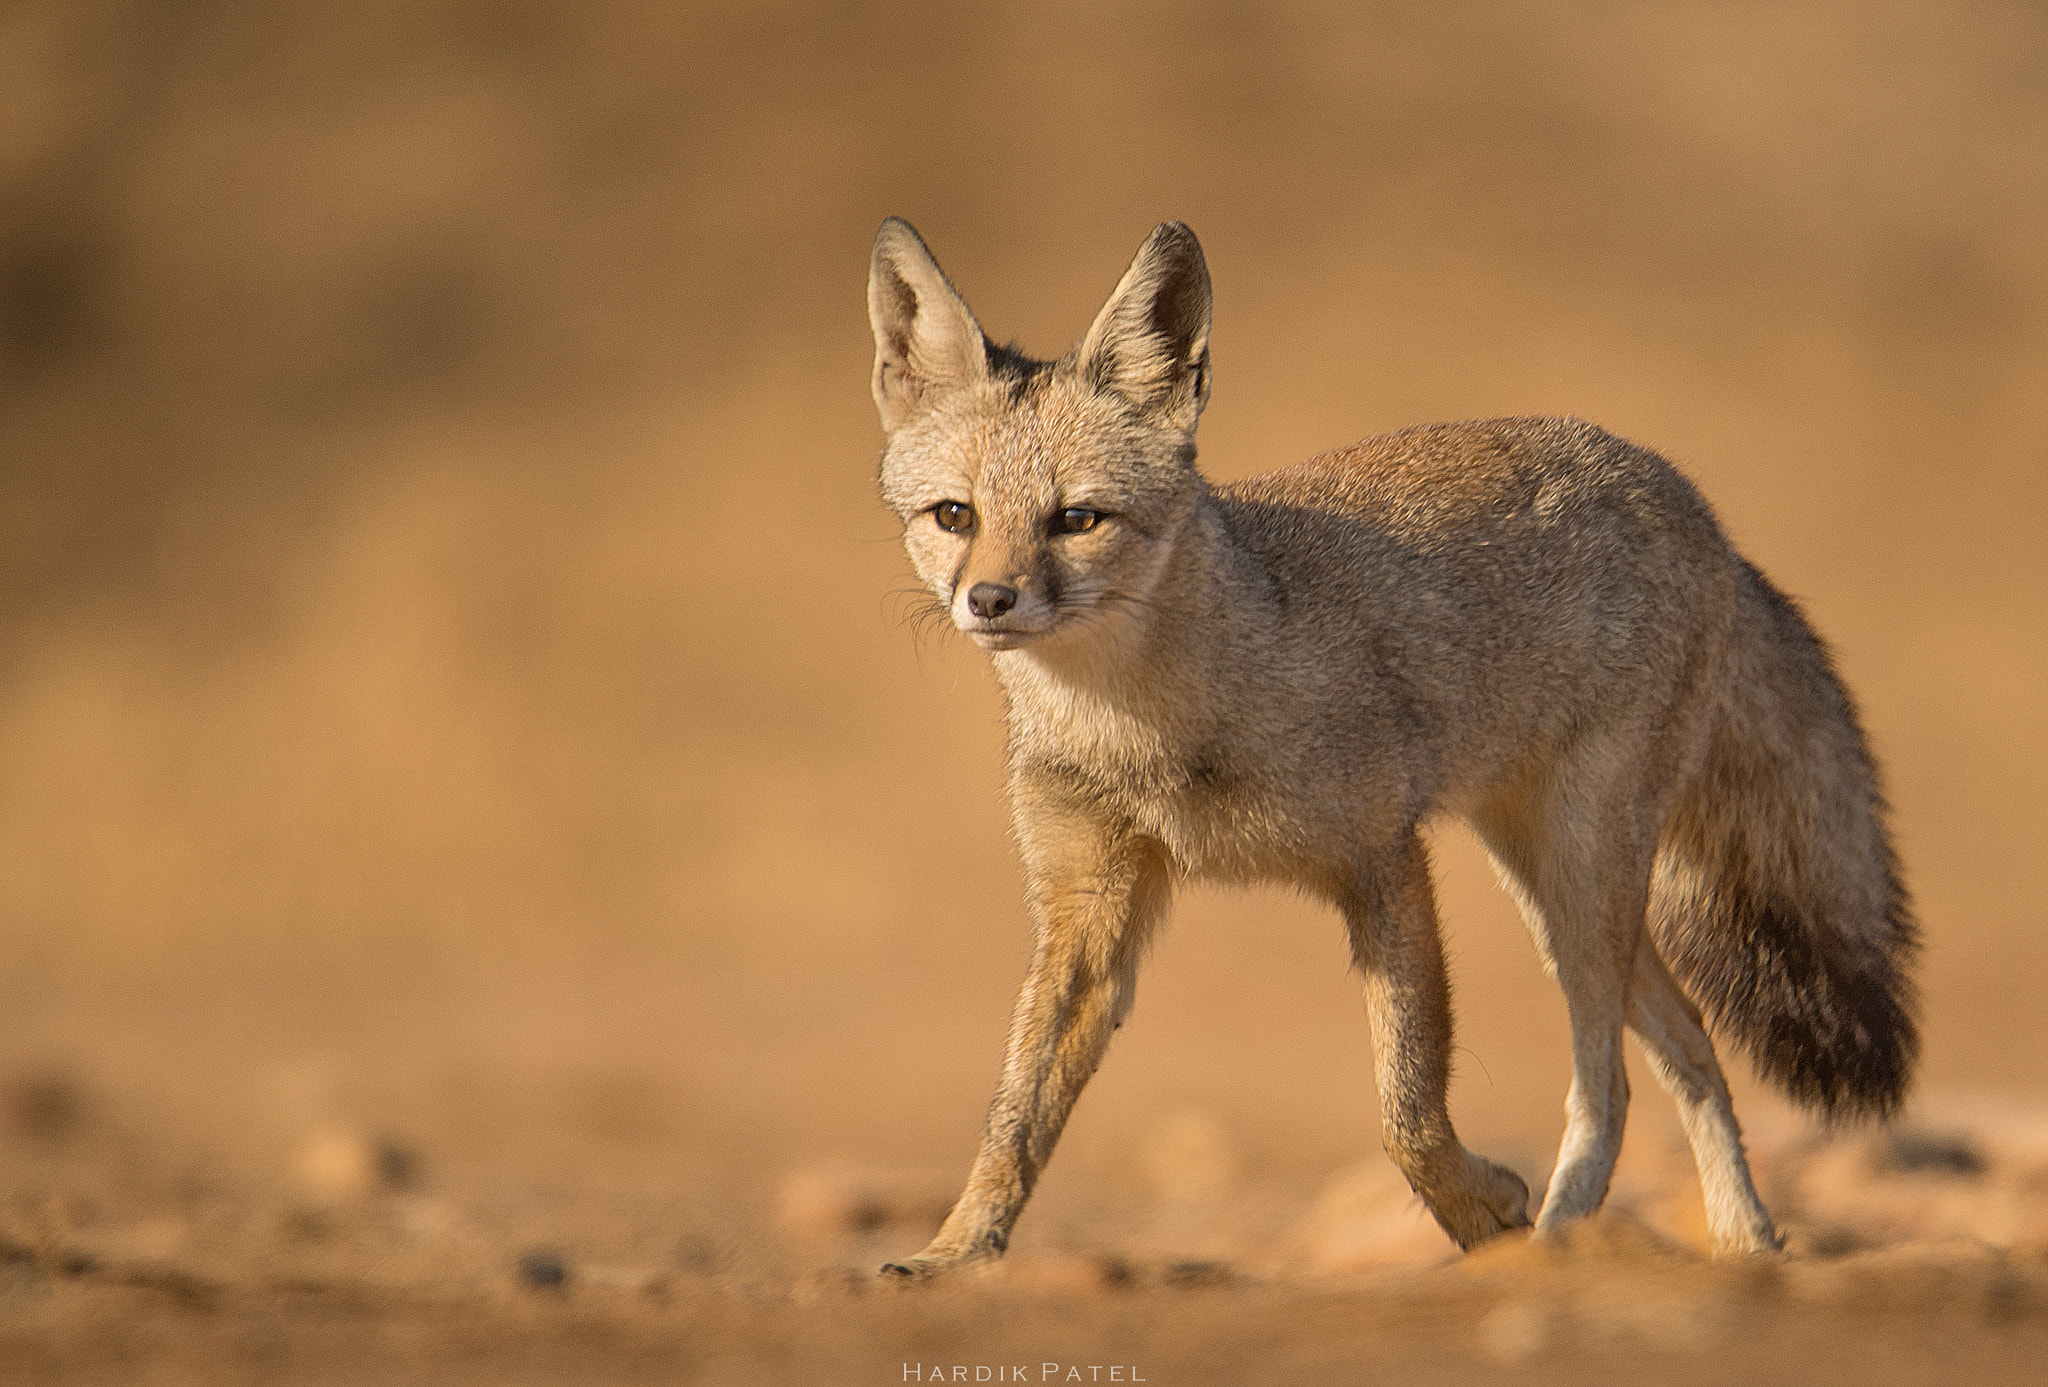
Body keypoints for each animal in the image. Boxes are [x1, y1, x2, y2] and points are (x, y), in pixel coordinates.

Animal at [864, 216, 1917, 1277]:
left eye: (1077, 519)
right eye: (955, 516)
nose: (988, 600)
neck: (1151, 731)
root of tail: (1684, 493)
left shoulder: (1382, 858)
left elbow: (1406, 1109)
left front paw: (1480, 1209)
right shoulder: (1086, 907)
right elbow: (1017, 1112)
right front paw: (956, 1250)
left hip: (1582, 883)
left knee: (1616, 1075)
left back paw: (1574, 1235)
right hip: (1551, 881)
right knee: (1690, 1042)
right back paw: (1743, 1242)